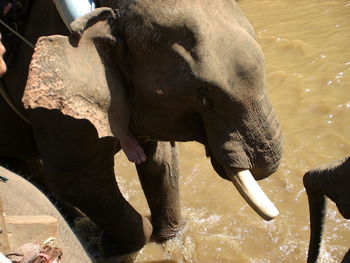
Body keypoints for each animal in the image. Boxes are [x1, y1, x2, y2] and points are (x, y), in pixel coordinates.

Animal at [0, 0, 284, 258]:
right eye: (203, 94)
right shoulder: (59, 100)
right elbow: (76, 181)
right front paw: (109, 245)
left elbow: (161, 160)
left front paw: (172, 239)